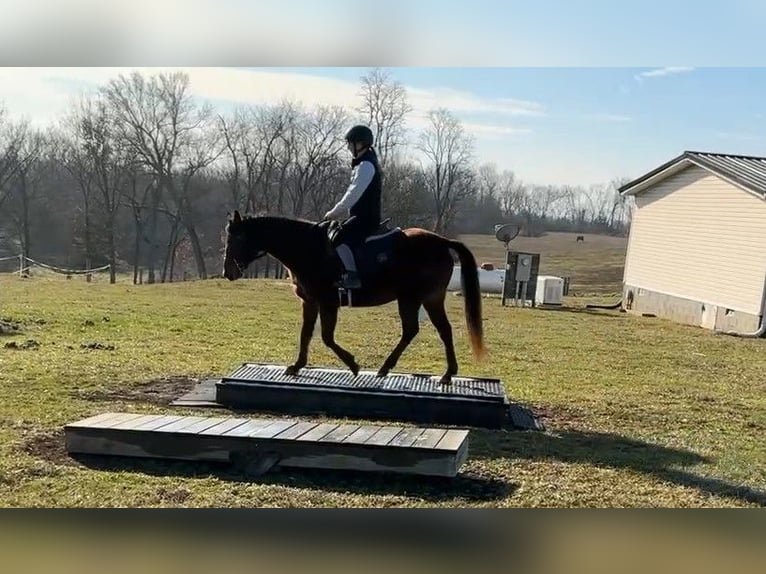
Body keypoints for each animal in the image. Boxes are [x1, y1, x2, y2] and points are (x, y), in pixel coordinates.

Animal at [221, 210, 486, 385]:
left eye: (236, 239)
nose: (228, 272)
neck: (308, 248)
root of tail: (441, 241)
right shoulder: (310, 302)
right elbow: (306, 333)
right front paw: (297, 366)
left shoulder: (328, 302)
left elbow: (327, 337)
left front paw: (352, 364)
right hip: (421, 299)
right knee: (430, 330)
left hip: (417, 298)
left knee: (427, 330)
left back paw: (436, 372)